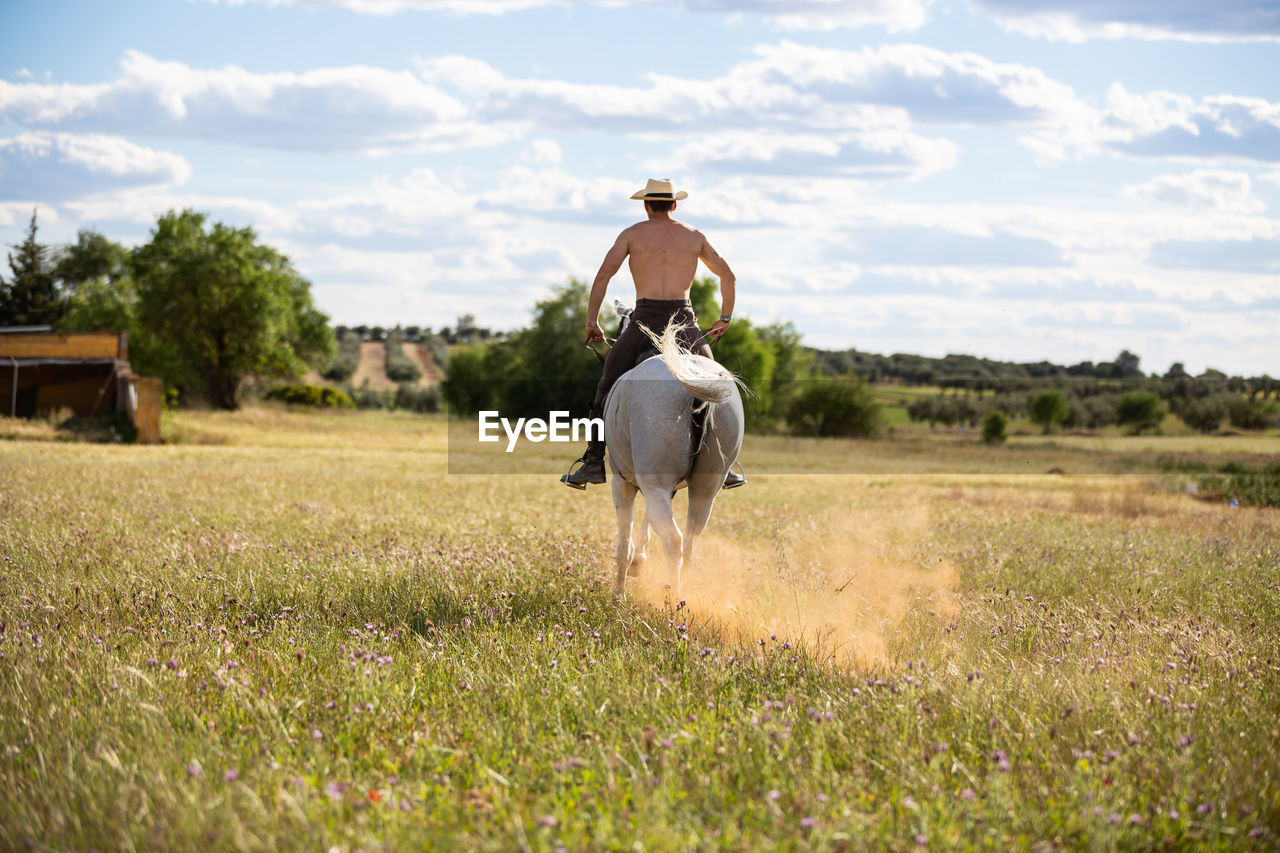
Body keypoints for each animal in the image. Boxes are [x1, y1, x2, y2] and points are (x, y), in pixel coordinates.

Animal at [604, 320, 747, 596]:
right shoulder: (662, 488)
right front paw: (639, 562)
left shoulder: (623, 483)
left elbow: (623, 543)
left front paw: (619, 594)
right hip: (704, 491)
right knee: (689, 543)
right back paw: (682, 596)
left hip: (653, 486)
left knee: (673, 540)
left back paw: (672, 600)